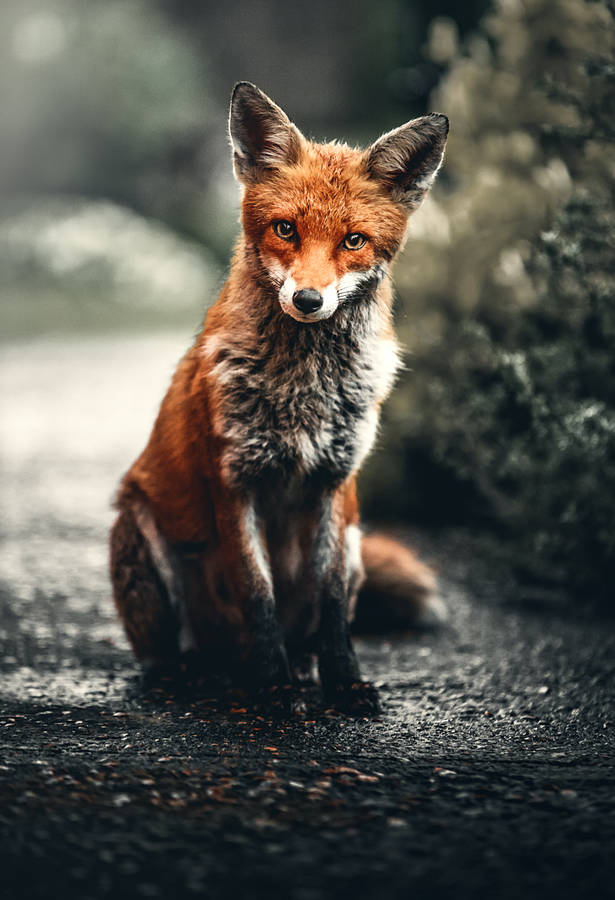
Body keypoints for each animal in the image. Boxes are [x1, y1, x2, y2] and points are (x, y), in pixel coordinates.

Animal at [110, 82, 449, 715]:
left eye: (353, 240)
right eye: (286, 229)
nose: (309, 300)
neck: (303, 390)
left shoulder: (336, 485)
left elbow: (333, 604)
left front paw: (344, 681)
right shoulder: (234, 481)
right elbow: (257, 593)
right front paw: (273, 688)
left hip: (358, 541)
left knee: (309, 629)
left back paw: (301, 668)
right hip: (140, 533)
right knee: (170, 654)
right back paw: (196, 675)